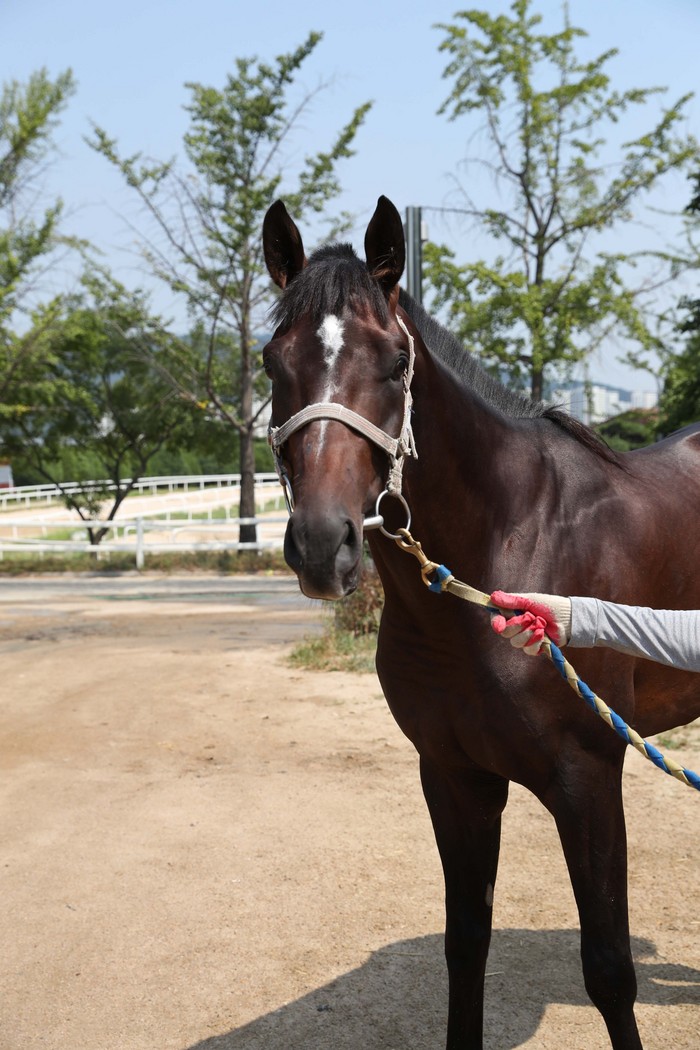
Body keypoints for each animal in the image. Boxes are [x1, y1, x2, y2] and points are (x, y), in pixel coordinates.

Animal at [261, 194, 700, 1049]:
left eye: (394, 362)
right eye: (271, 362)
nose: (322, 546)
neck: (514, 535)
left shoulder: (589, 775)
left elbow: (610, 969)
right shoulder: (453, 775)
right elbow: (466, 945)